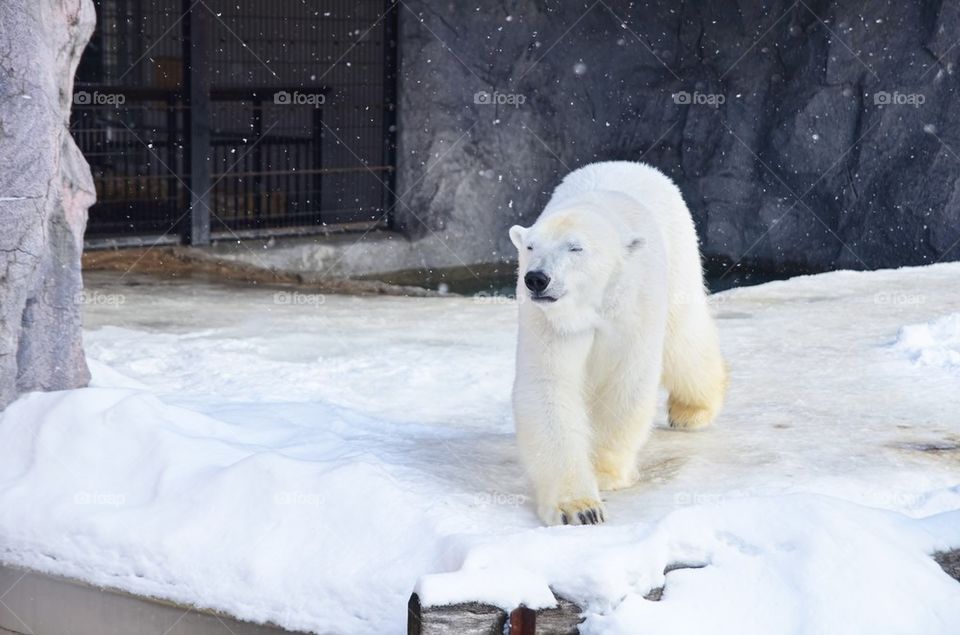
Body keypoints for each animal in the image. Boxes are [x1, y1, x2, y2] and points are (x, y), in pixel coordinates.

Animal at [509, 161, 727, 526]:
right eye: (530, 247)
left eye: (575, 248)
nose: (537, 278)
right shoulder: (549, 321)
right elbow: (549, 385)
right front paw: (579, 508)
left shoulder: (633, 303)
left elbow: (625, 380)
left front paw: (603, 474)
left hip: (679, 255)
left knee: (683, 338)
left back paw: (692, 410)